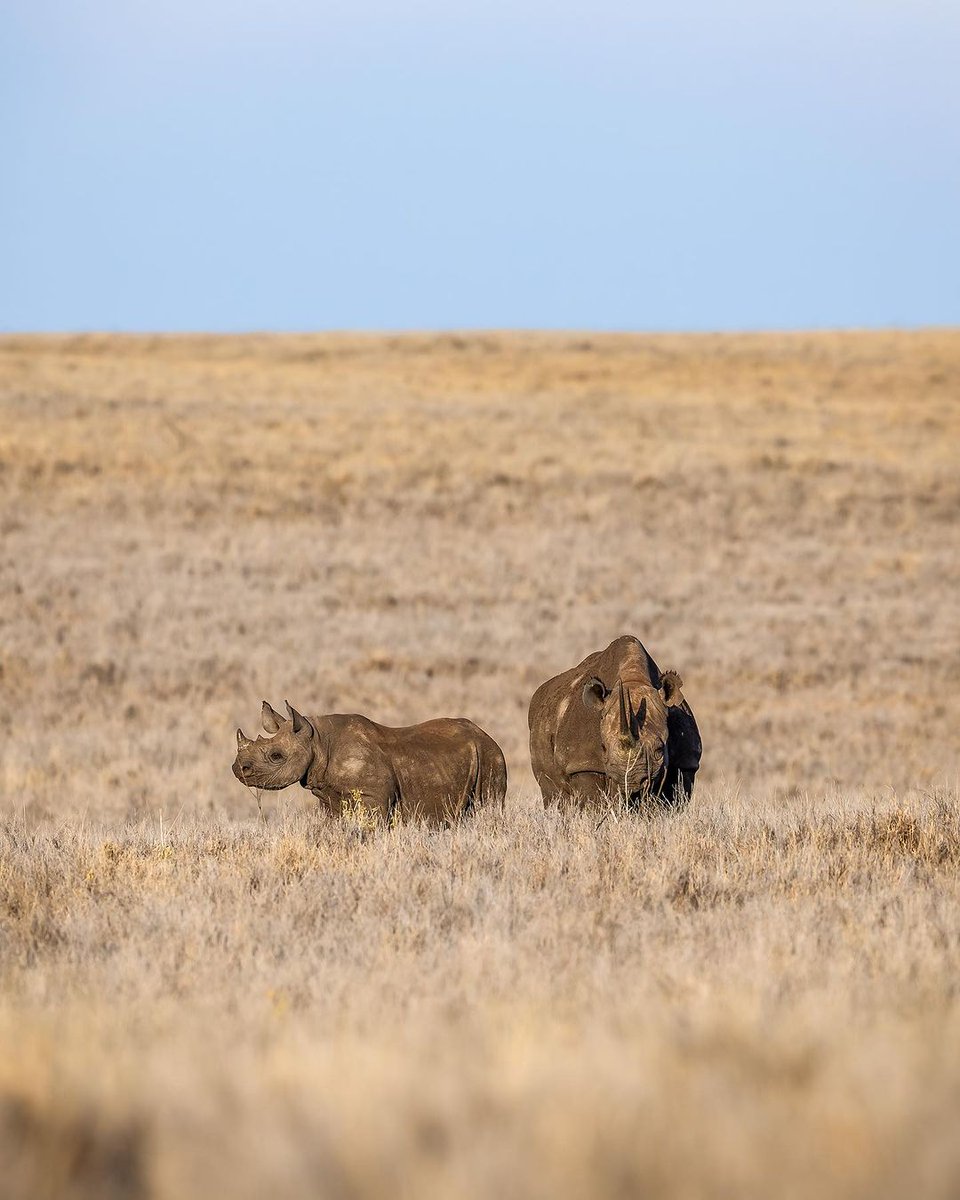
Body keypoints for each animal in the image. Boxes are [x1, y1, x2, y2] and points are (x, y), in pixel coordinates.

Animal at [231, 700, 506, 825]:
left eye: (276, 756)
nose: (237, 769)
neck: (317, 741)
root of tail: (487, 735)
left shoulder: (373, 796)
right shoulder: (330, 799)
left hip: (491, 756)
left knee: (489, 803)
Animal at [528, 633, 700, 811]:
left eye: (659, 750)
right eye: (603, 747)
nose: (630, 783)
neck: (634, 679)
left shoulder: (685, 761)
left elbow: (672, 800)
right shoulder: (582, 763)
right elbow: (593, 803)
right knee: (552, 792)